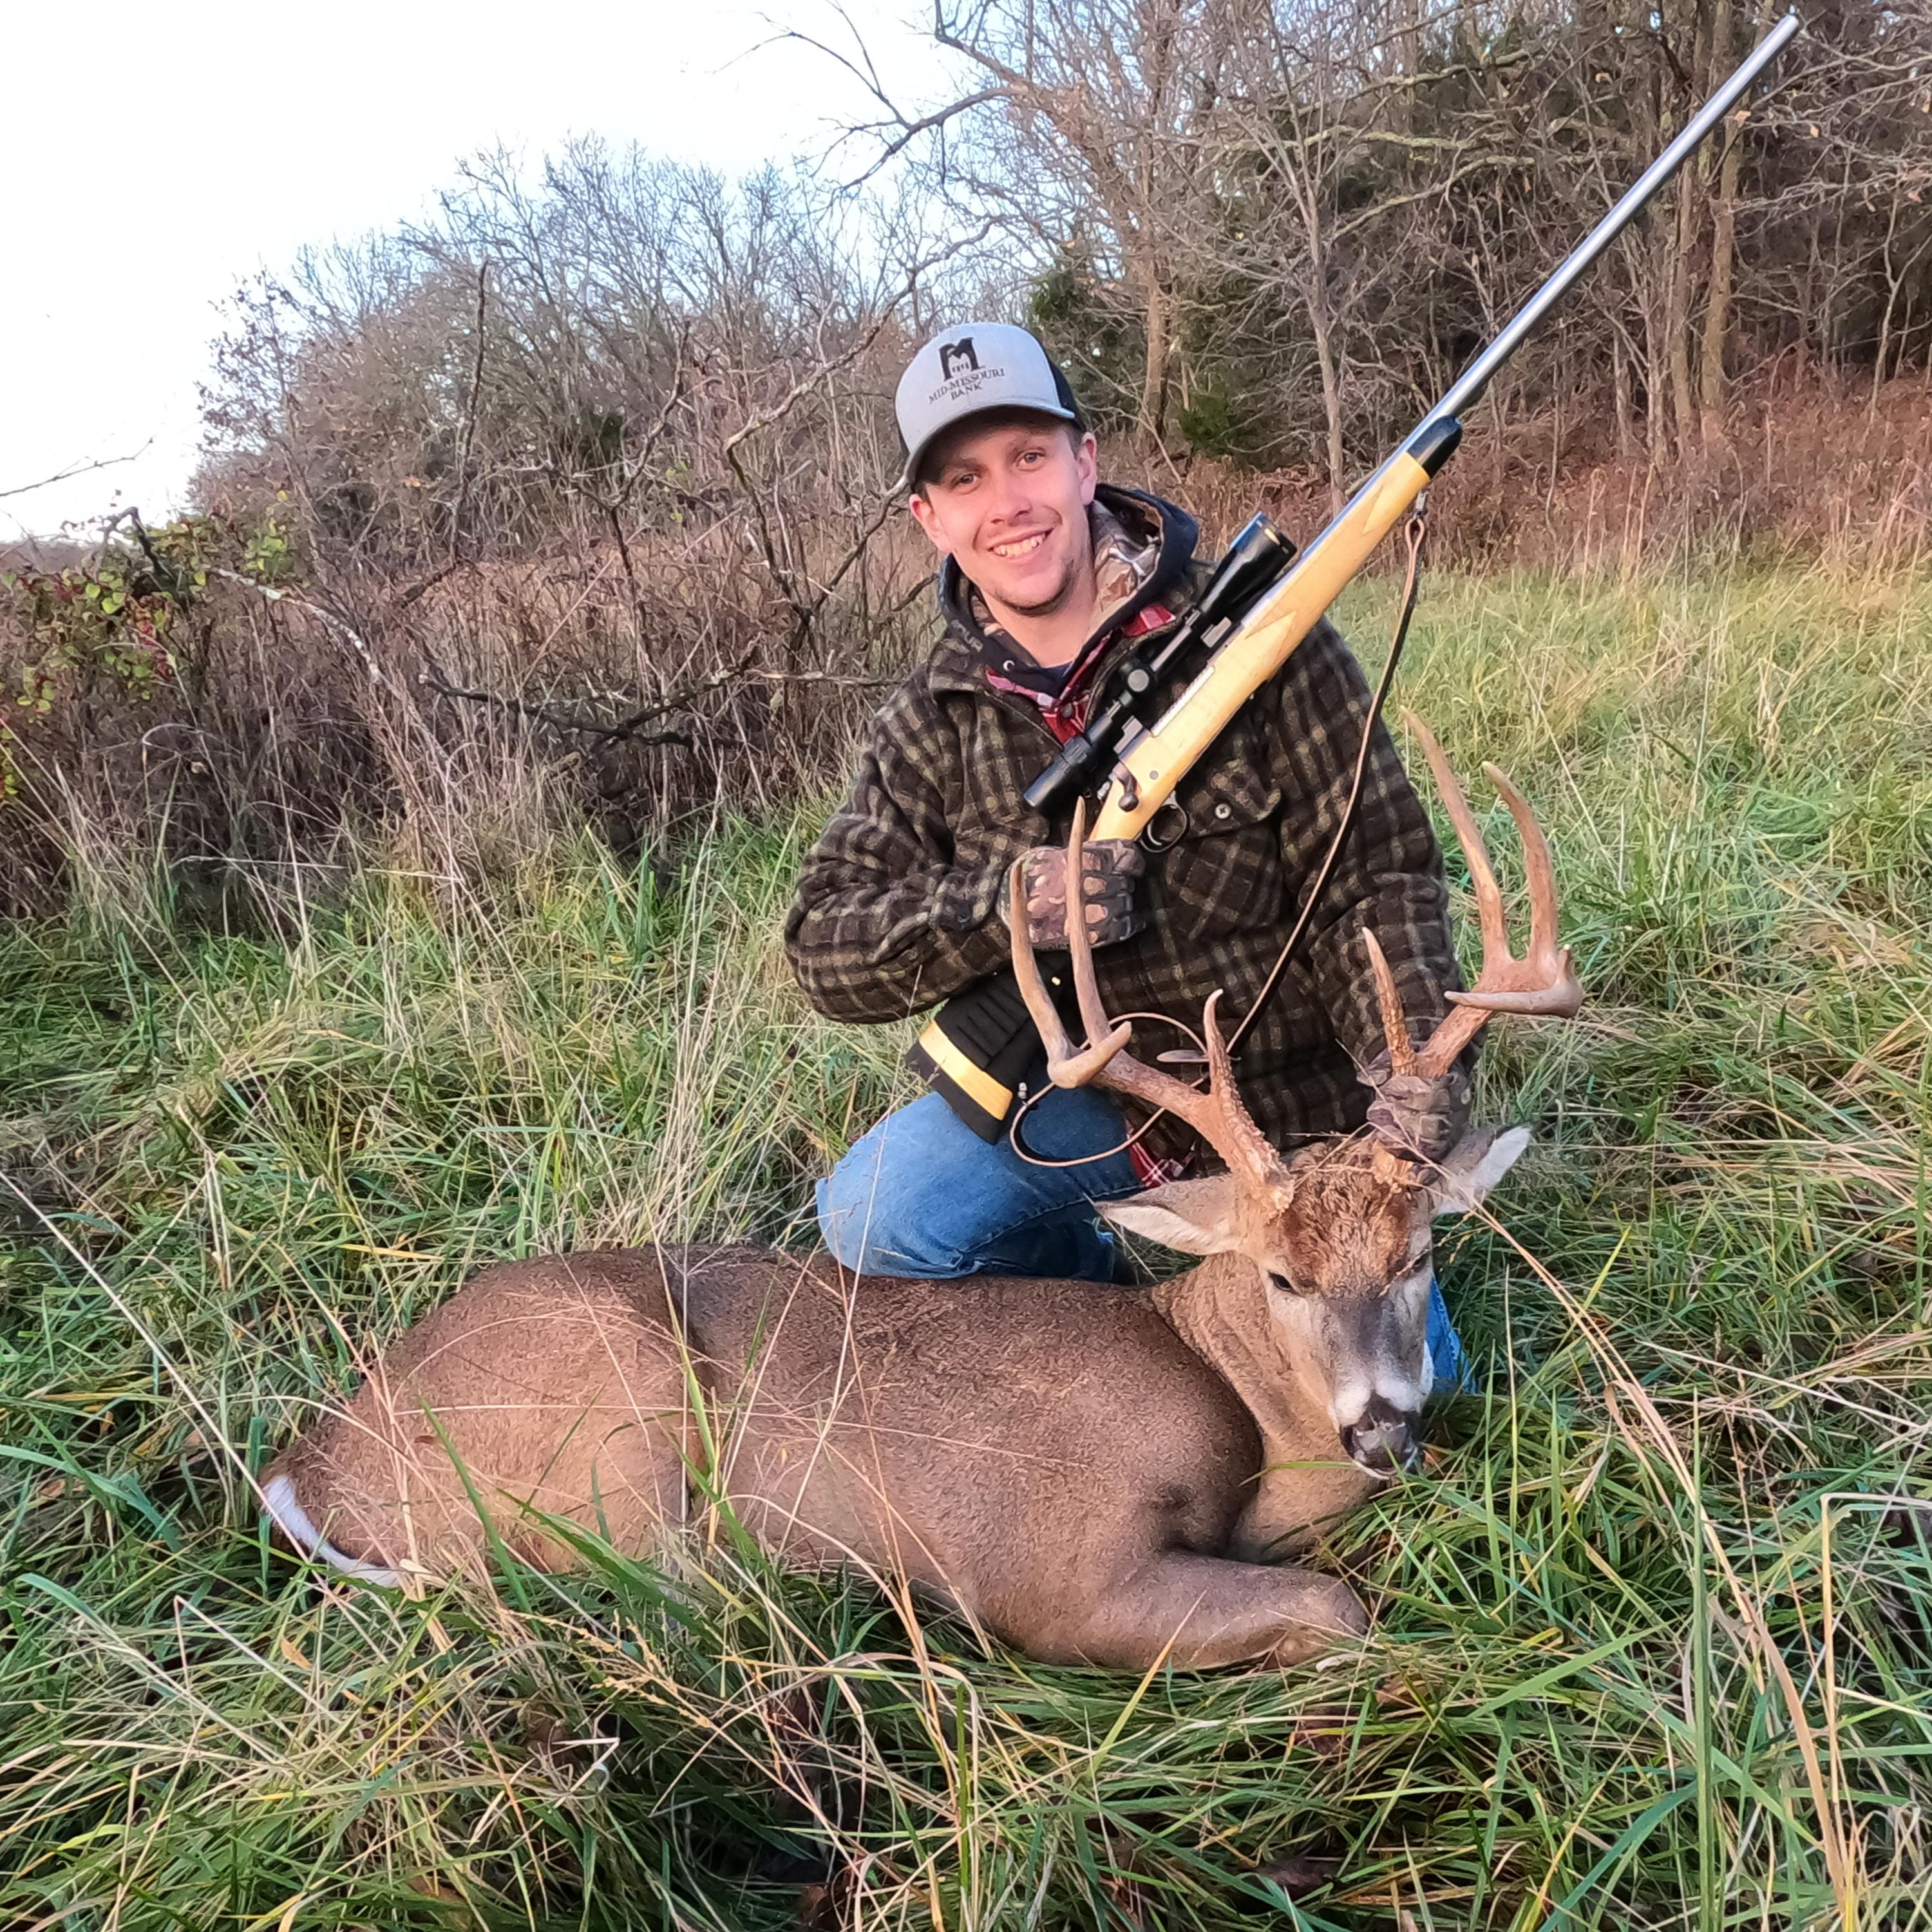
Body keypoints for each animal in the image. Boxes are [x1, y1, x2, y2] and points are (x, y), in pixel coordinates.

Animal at [262, 718, 1581, 1672]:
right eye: (1280, 1276)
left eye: (1415, 1254)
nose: (1384, 1425)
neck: (1233, 1396)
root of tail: (314, 1465)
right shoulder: (1056, 1571)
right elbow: (1337, 1611)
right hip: (625, 1411)